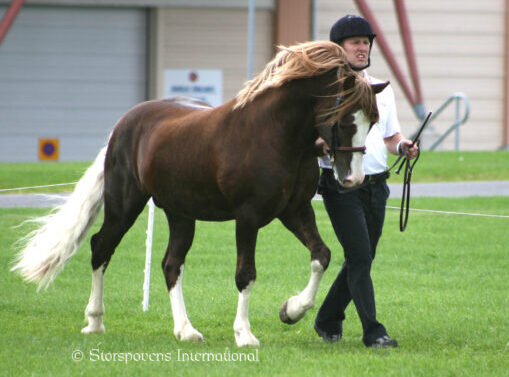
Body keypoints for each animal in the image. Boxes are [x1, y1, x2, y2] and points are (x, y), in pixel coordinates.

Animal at [10, 40, 384, 344]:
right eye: (345, 120)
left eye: (372, 122)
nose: (352, 180)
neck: (273, 134)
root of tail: (124, 125)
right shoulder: (247, 217)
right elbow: (246, 274)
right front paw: (245, 334)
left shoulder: (294, 211)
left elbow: (322, 255)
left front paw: (290, 310)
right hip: (125, 206)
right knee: (101, 247)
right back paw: (95, 322)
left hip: (180, 215)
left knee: (170, 264)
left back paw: (185, 330)